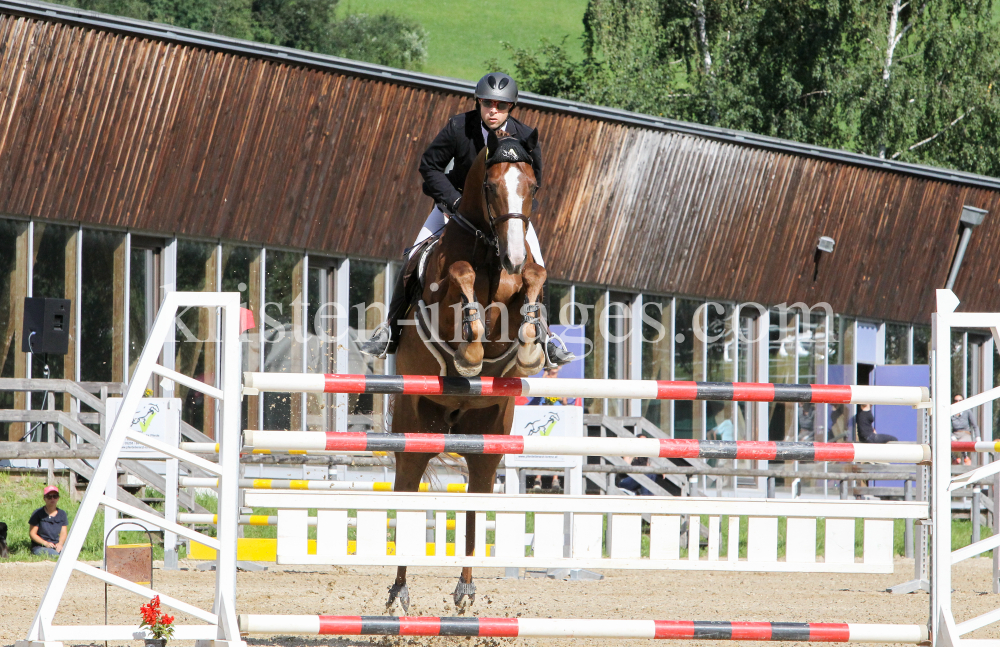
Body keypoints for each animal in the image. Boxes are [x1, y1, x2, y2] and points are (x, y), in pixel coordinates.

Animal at [388, 133, 548, 612]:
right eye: (491, 186)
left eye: (532, 186)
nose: (512, 255)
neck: (489, 248)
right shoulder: (443, 292)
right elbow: (460, 278)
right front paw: (470, 352)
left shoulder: (520, 282)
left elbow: (534, 278)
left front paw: (530, 346)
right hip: (413, 429)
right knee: (406, 490)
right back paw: (399, 592)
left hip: (487, 436)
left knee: (477, 496)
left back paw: (465, 588)